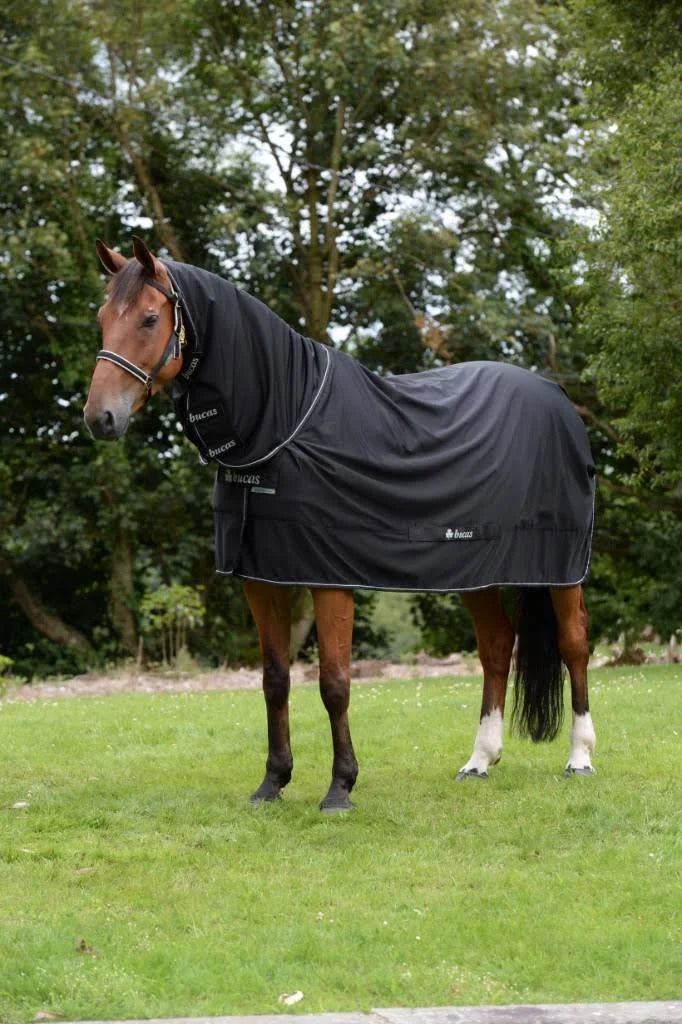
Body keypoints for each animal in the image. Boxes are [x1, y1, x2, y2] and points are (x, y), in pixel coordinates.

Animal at [84, 237, 597, 812]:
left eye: (150, 318)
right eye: (102, 318)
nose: (99, 417)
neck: (285, 420)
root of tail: (557, 399)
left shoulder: (330, 577)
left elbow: (334, 683)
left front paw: (340, 787)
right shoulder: (262, 578)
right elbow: (275, 680)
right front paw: (272, 782)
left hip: (561, 567)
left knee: (574, 643)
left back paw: (579, 757)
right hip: (475, 569)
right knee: (495, 647)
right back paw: (479, 761)